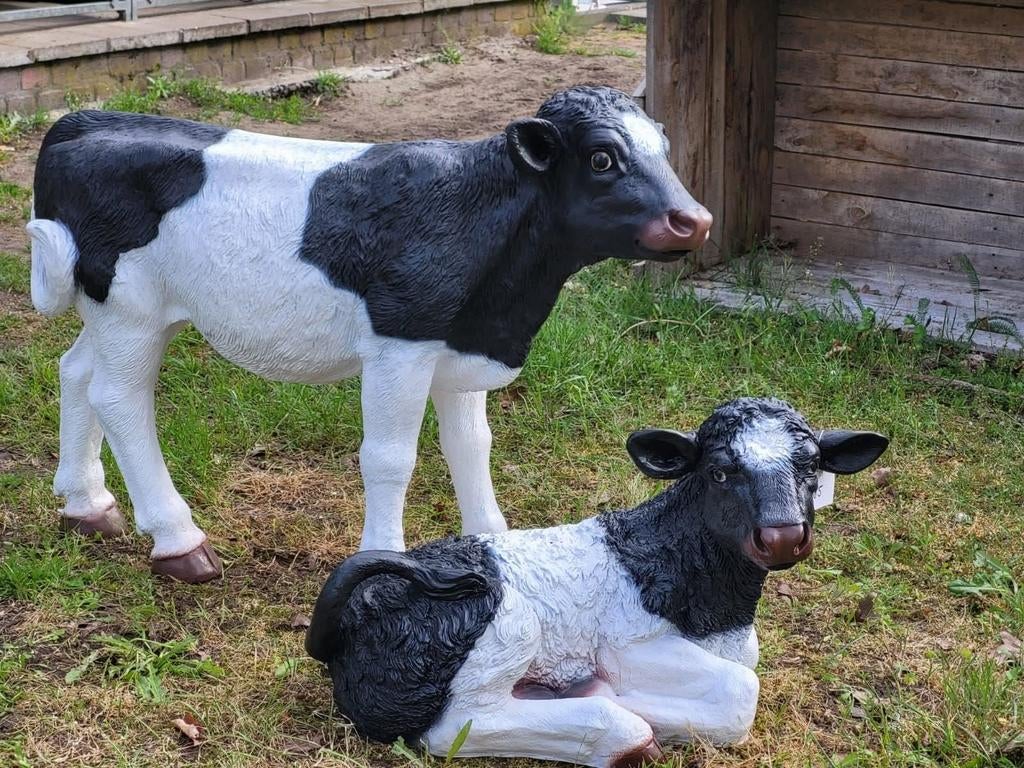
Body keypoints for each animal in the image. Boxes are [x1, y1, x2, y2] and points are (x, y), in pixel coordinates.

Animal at [28, 86, 712, 583]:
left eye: (663, 147)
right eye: (602, 158)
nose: (695, 220)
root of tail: (78, 123)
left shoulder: (463, 341)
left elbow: (472, 445)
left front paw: (493, 539)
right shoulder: (400, 345)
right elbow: (390, 457)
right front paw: (383, 557)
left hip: (119, 310)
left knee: (76, 372)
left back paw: (87, 505)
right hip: (131, 309)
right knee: (119, 399)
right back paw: (178, 541)